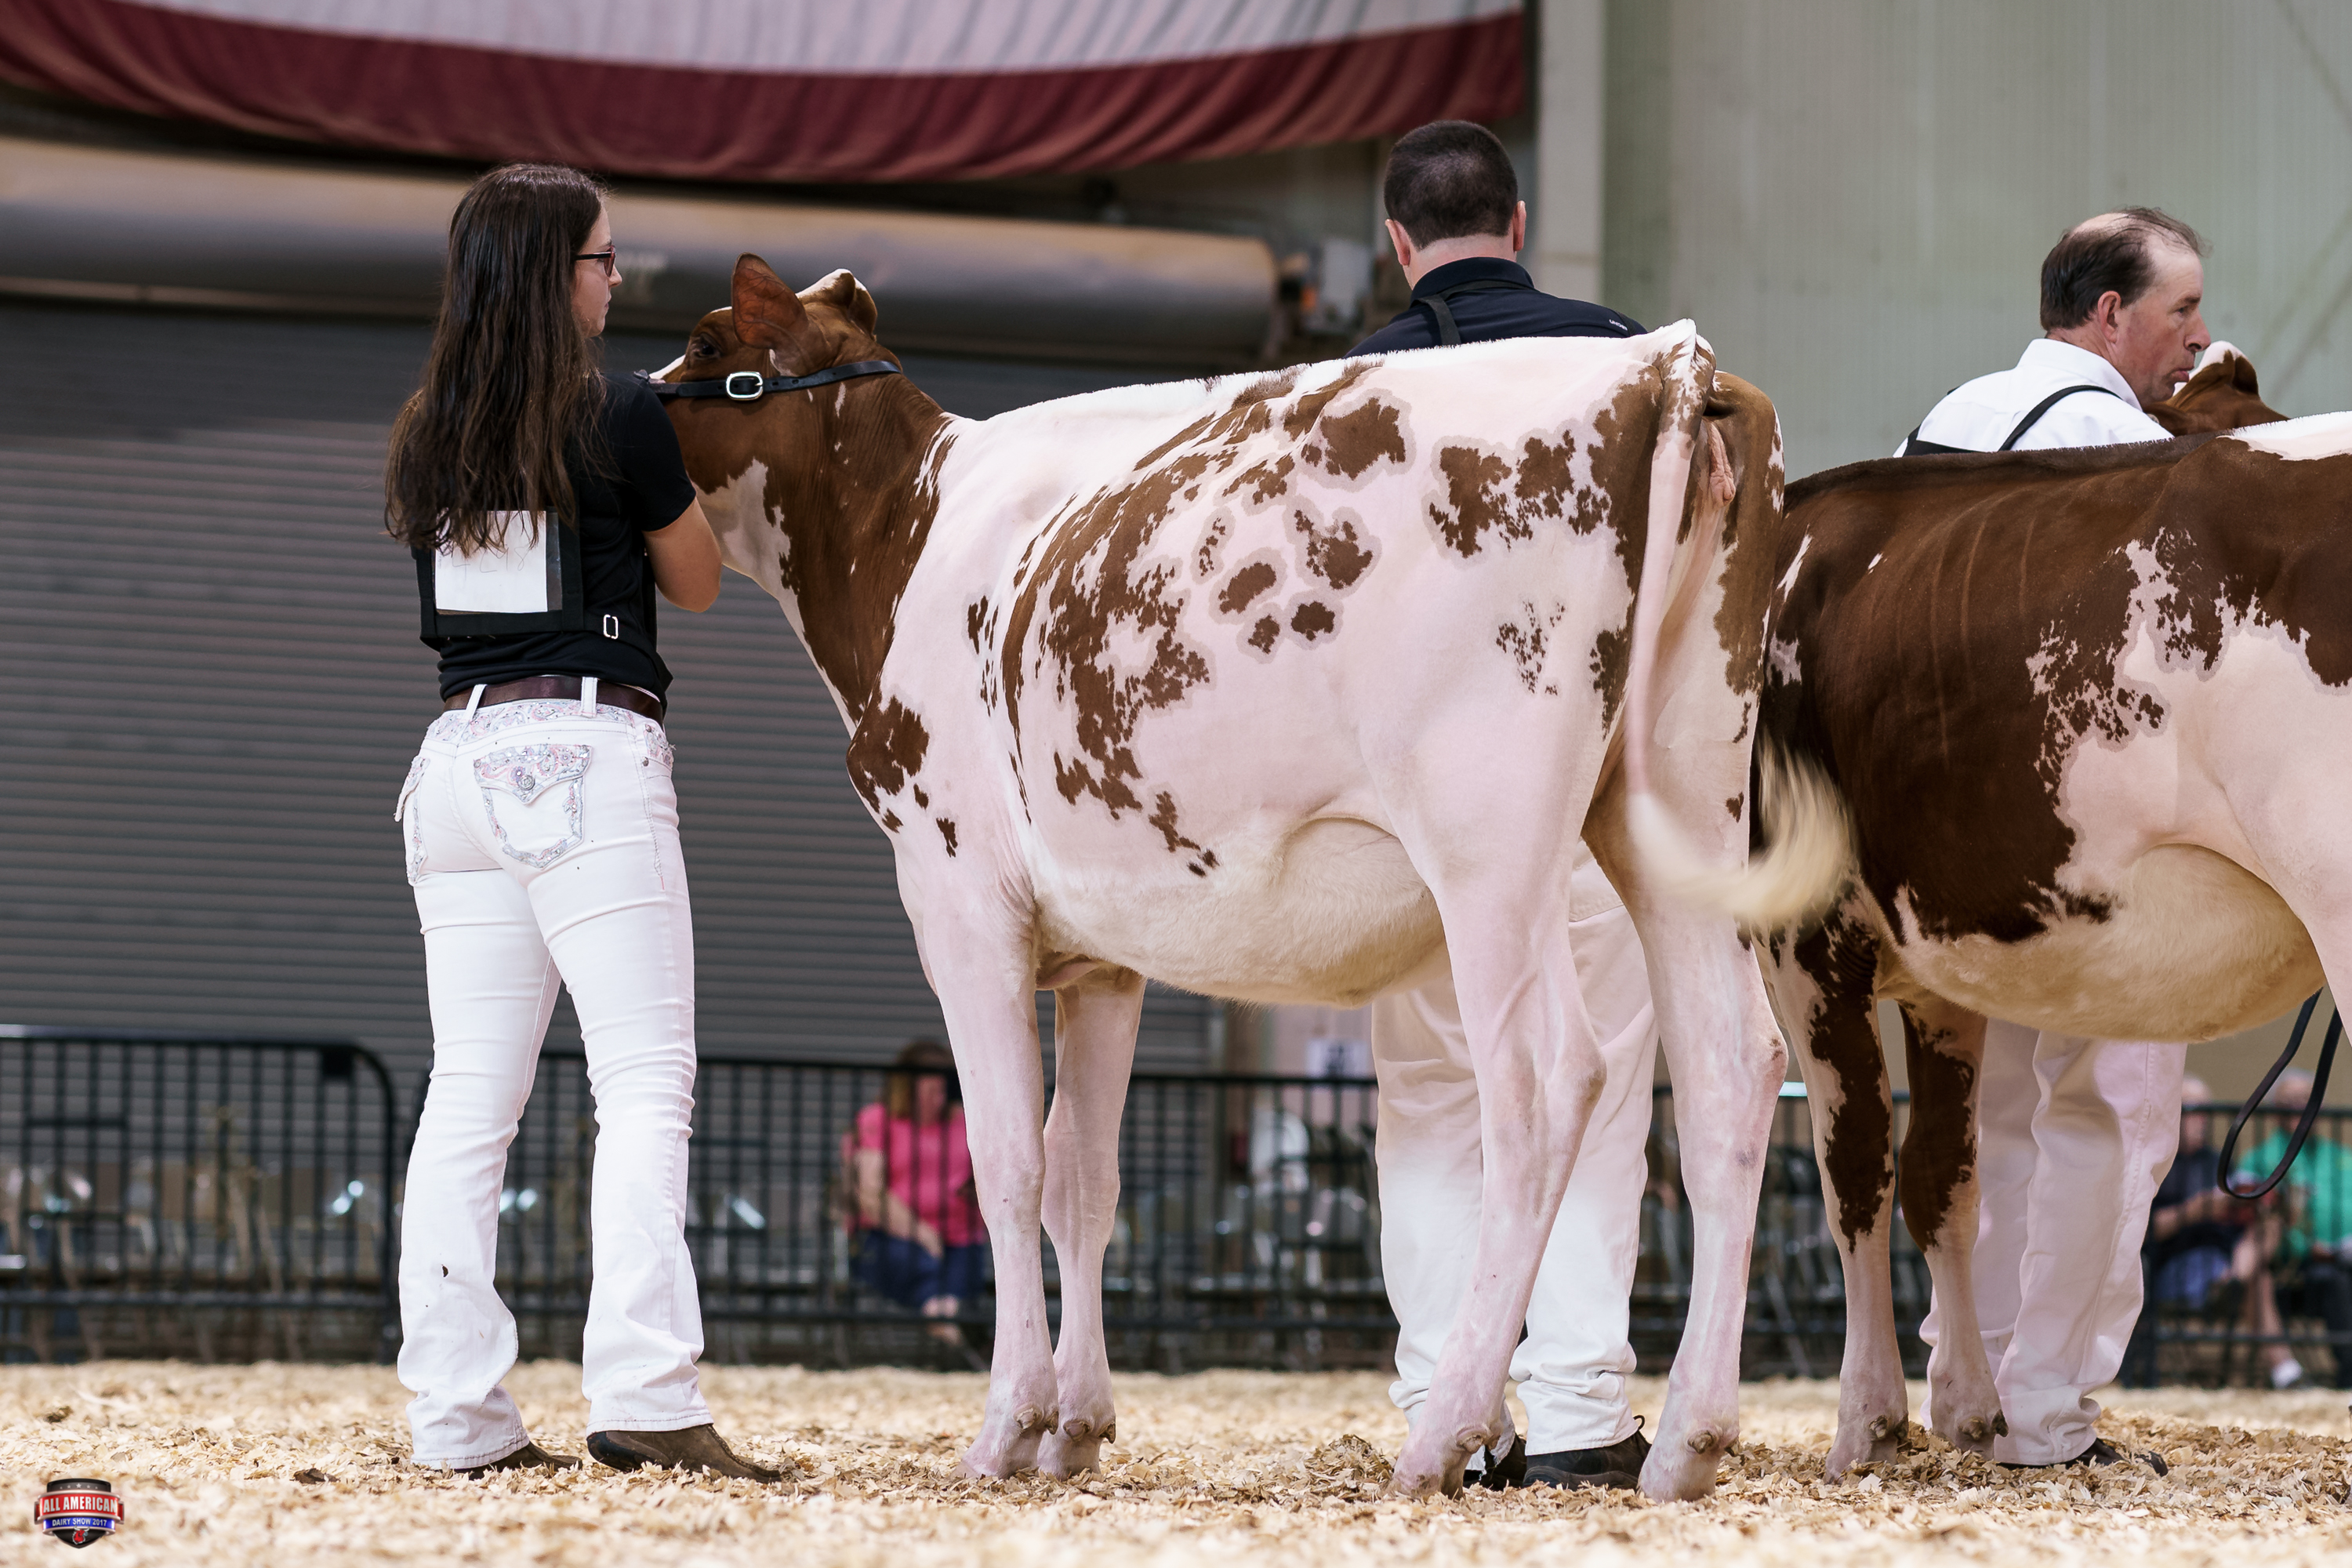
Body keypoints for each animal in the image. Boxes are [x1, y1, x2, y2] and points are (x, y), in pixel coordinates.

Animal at [648, 255, 1822, 1499]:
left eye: (707, 342)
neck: (908, 530)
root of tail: (1661, 360)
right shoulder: (1102, 956)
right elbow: (1084, 1178)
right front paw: (1077, 1427)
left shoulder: (958, 898)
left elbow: (1006, 1165)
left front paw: (1008, 1428)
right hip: (1677, 801)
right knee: (1729, 1069)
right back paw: (1689, 1440)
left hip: (1491, 844)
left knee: (1550, 1081)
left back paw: (1443, 1433)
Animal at [1741, 362, 2337, 1476]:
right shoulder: (1944, 954)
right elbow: (1944, 1175)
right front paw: (1970, 1411)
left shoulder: (1805, 938)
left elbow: (1859, 1171)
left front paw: (1869, 1420)